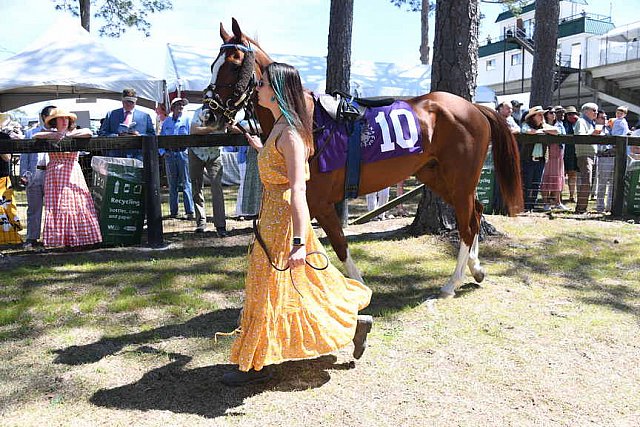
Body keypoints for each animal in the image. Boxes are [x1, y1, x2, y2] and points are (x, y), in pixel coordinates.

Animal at [202, 19, 524, 298]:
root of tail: (474, 108)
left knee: (467, 225)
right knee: (476, 212)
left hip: (459, 180)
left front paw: (358, 287)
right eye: (212, 65)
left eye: (233, 63)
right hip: (436, 176)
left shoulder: (319, 202)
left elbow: (338, 245)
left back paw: (451, 283)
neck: (307, 122)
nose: (209, 114)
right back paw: (476, 268)